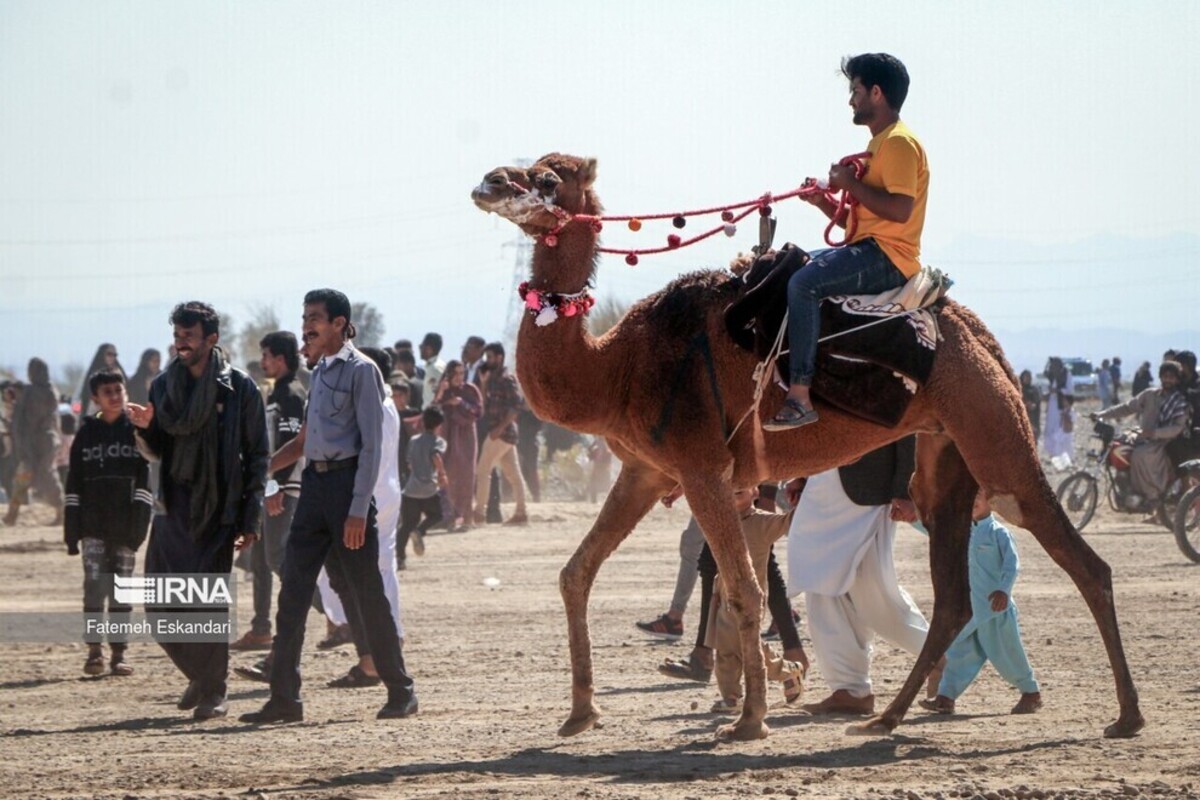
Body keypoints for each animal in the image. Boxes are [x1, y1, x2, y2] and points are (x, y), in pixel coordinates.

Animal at [468, 153, 1142, 743]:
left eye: (547, 177)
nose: (488, 181)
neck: (616, 368)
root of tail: (981, 337)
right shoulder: (646, 471)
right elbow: (576, 572)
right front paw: (580, 715)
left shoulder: (701, 468)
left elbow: (745, 588)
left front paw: (749, 720)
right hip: (944, 455)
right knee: (953, 597)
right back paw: (885, 718)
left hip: (995, 433)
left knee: (1083, 561)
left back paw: (1127, 716)